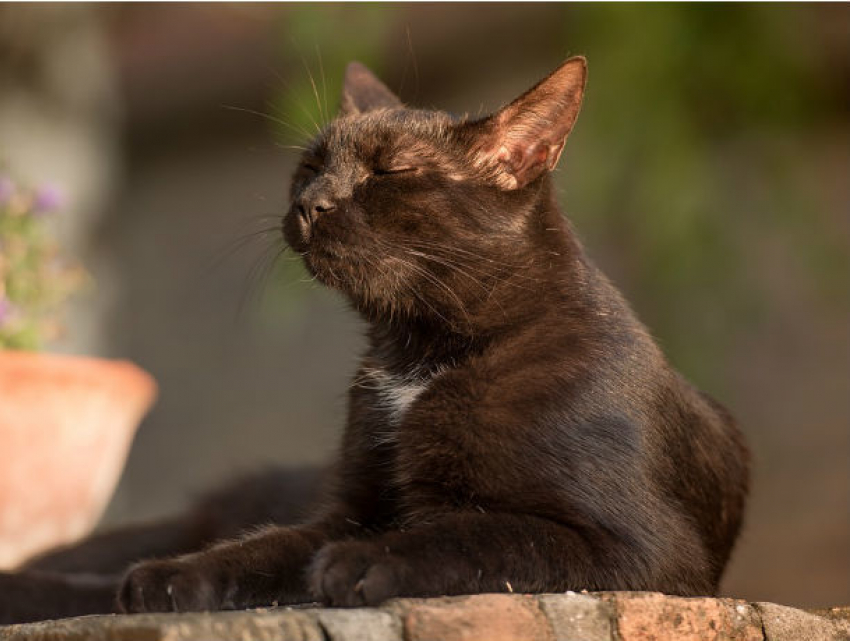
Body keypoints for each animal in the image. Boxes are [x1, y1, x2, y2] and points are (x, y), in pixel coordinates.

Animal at [0, 57, 744, 624]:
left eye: (390, 172)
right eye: (309, 165)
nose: (310, 203)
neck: (421, 351)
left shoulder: (640, 548)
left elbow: (485, 532)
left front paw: (368, 562)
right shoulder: (348, 507)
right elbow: (267, 547)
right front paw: (177, 577)